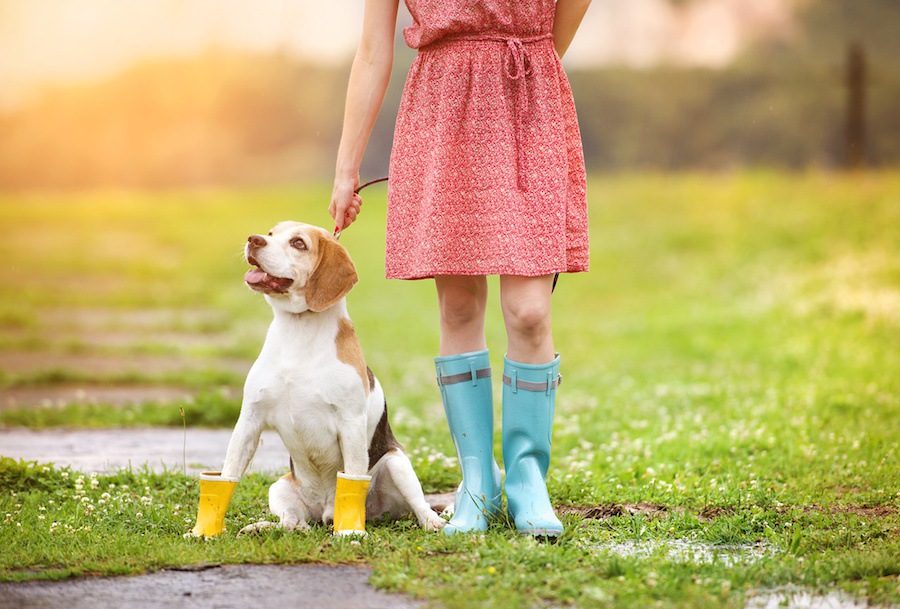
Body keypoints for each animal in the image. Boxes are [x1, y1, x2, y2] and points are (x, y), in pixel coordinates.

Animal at [223, 223, 444, 532]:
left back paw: (432, 522)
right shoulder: (249, 420)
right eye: (271, 232)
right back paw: (265, 527)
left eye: (299, 243)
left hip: (396, 464)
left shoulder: (350, 422)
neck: (298, 330)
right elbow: (228, 475)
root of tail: (325, 511)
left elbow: (353, 477)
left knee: (419, 506)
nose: (254, 240)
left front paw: (351, 531)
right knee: (293, 524)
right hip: (280, 488)